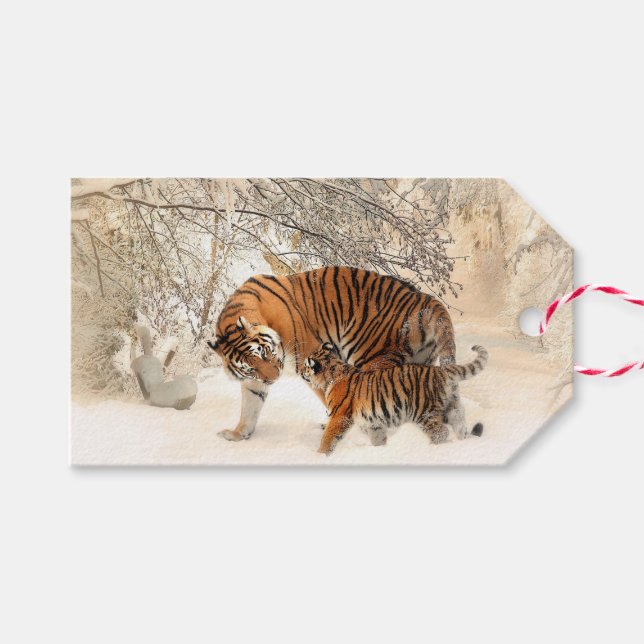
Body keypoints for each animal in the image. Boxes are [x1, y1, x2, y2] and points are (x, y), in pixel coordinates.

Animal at [207, 266, 468, 442]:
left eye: (264, 353)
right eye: (250, 367)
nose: (273, 379)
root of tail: (424, 298)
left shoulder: (309, 358)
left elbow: (332, 397)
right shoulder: (254, 381)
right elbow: (250, 406)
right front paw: (238, 434)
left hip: (372, 358)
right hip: (419, 363)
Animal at [301, 342, 488, 455]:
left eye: (305, 366)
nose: (301, 372)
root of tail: (441, 371)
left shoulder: (339, 416)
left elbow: (328, 437)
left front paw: (320, 454)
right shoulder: (373, 422)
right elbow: (377, 437)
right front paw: (380, 450)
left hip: (424, 413)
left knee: (441, 432)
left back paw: (431, 449)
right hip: (452, 406)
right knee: (460, 425)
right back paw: (462, 442)